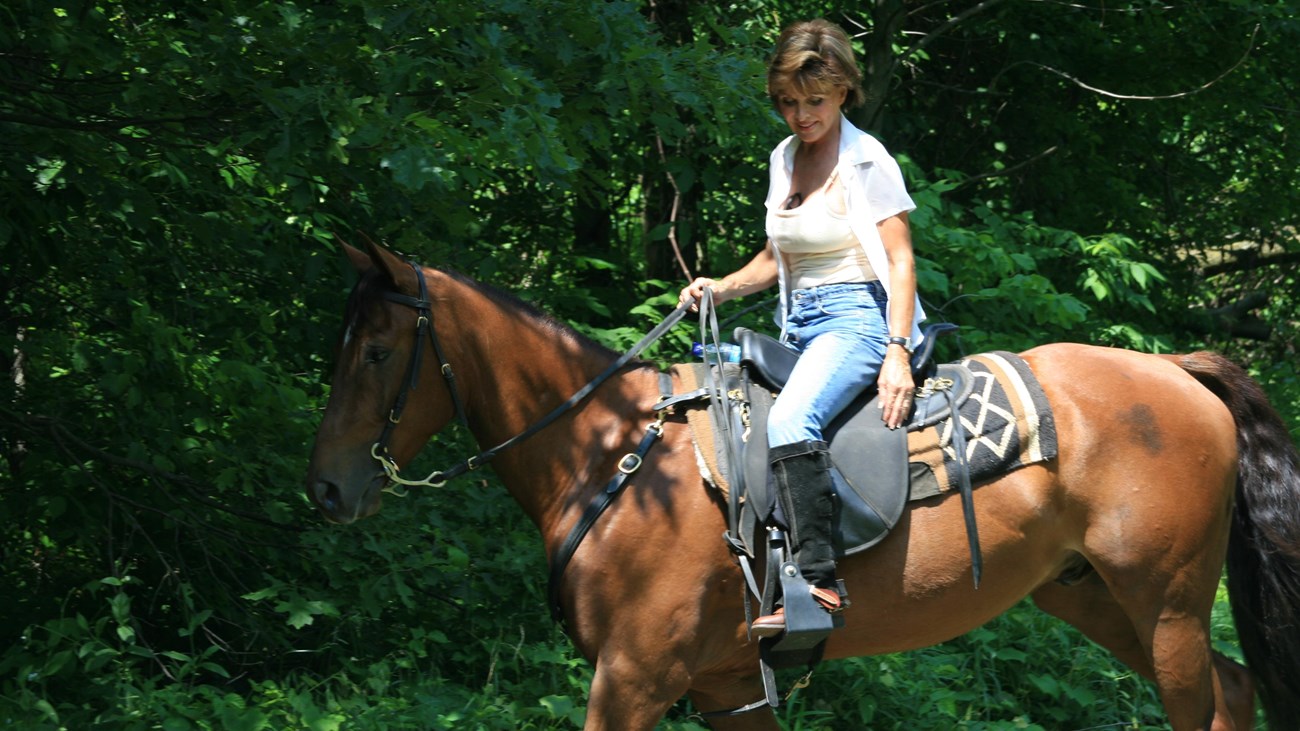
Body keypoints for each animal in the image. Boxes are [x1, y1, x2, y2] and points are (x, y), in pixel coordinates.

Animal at [306, 240, 1300, 728]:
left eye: (380, 351)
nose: (326, 490)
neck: (612, 456)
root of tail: (1173, 368)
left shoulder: (631, 678)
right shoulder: (721, 686)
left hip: (1164, 601)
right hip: (1094, 595)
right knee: (1233, 690)